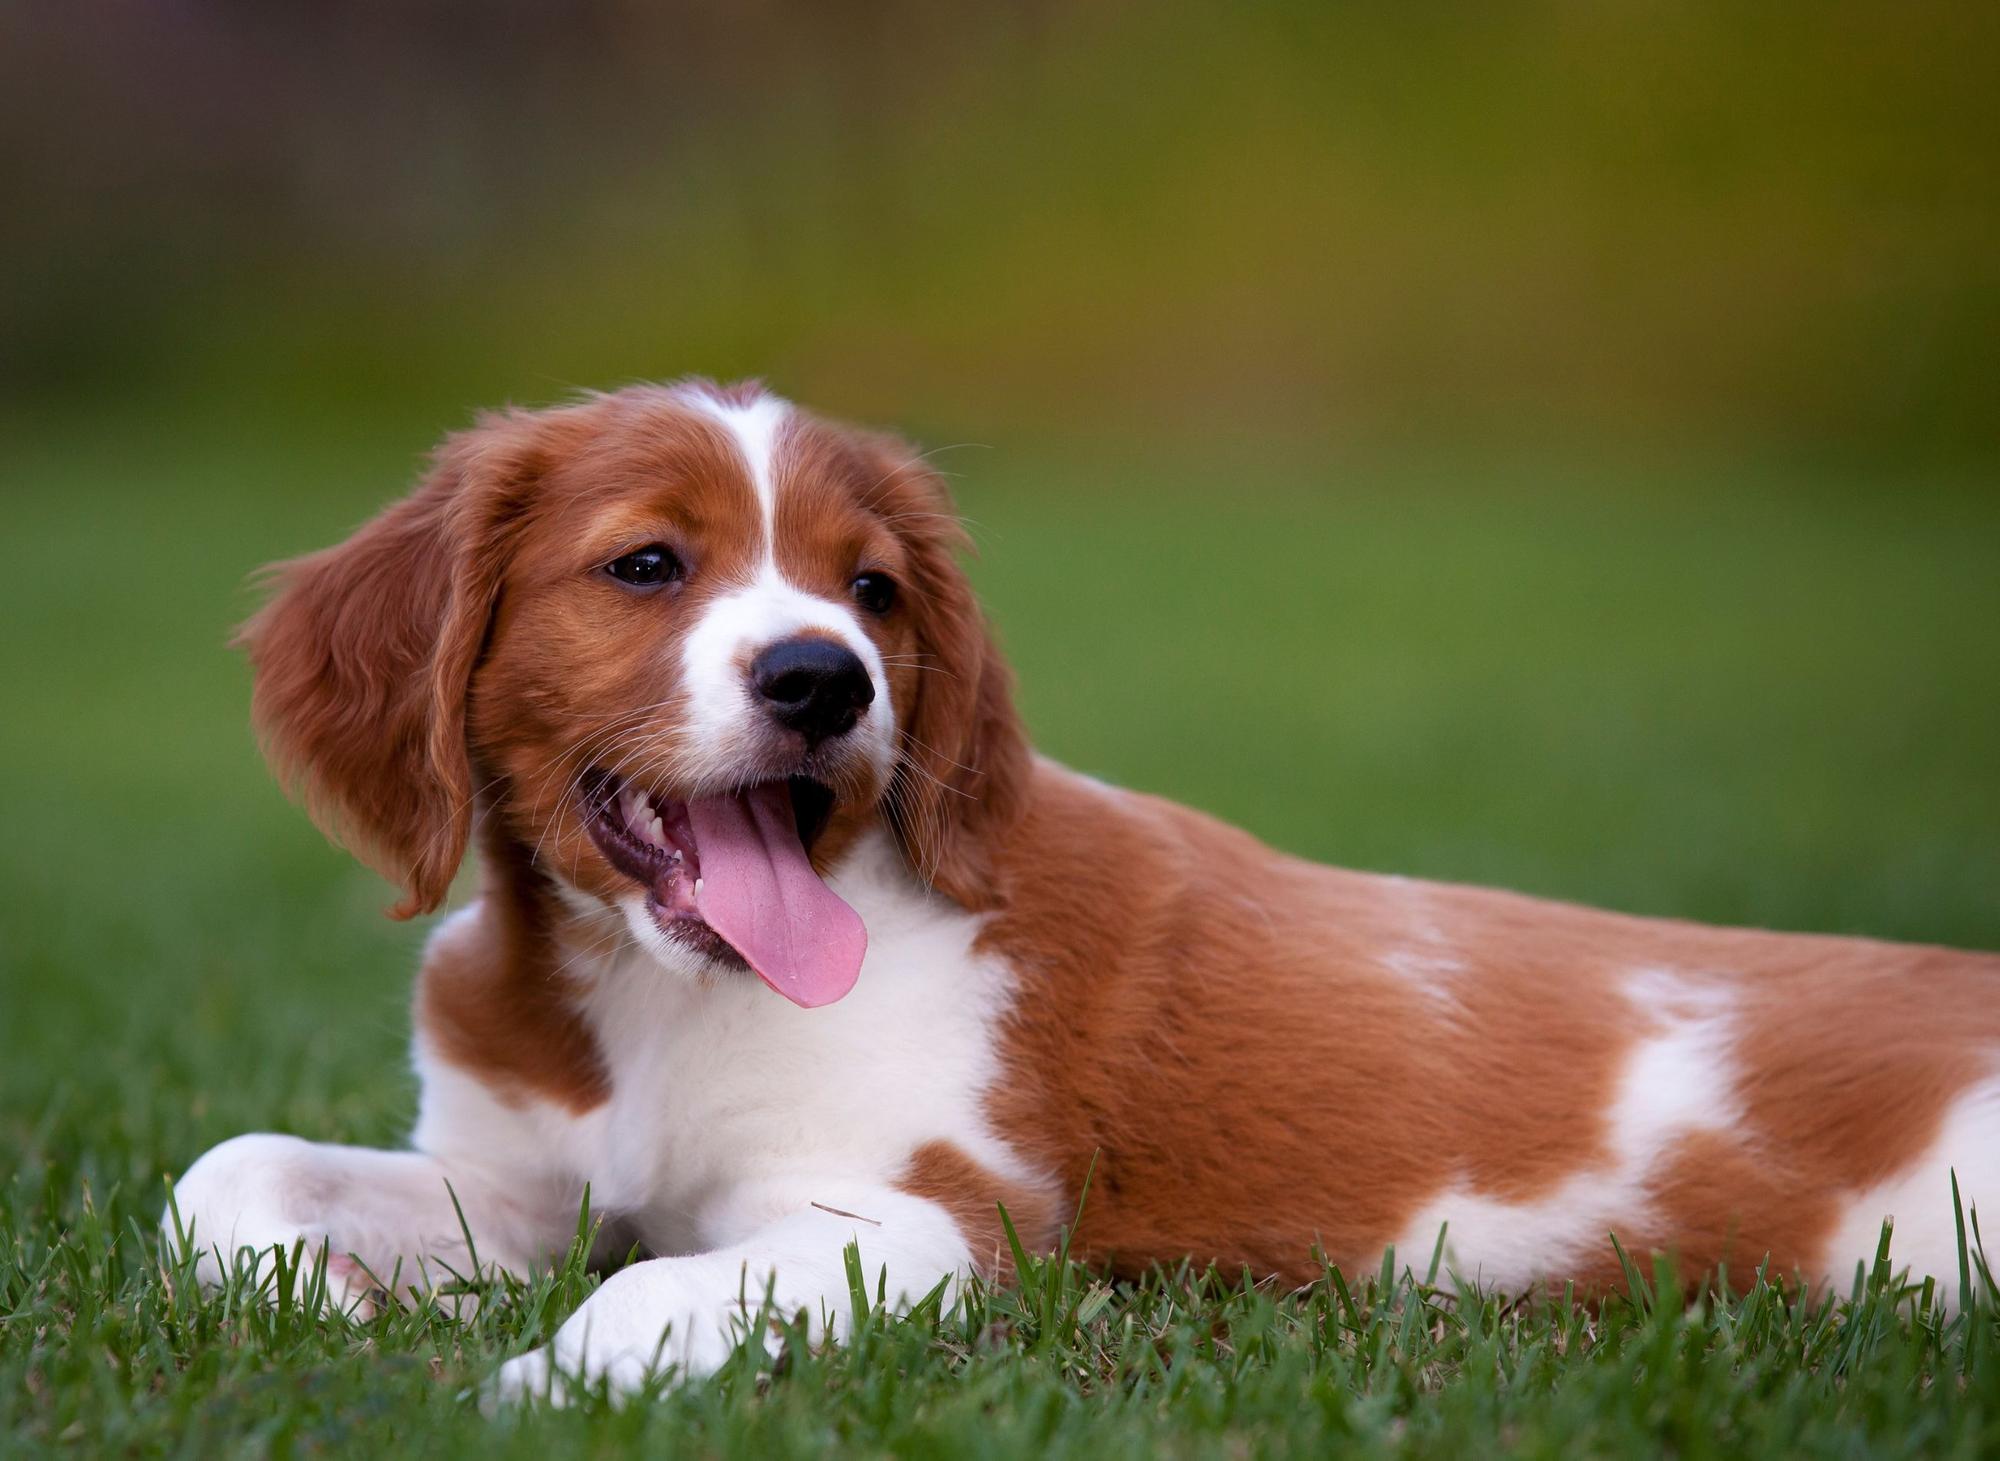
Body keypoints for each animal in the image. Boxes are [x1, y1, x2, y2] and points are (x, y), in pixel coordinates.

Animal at [172, 382, 2000, 1392]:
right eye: (644, 564)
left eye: (874, 590)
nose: (825, 680)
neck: (650, 1000)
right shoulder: (516, 1182)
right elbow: (230, 1166)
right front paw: (323, 1296)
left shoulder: (923, 1223)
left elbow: (655, 1287)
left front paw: (540, 1385)